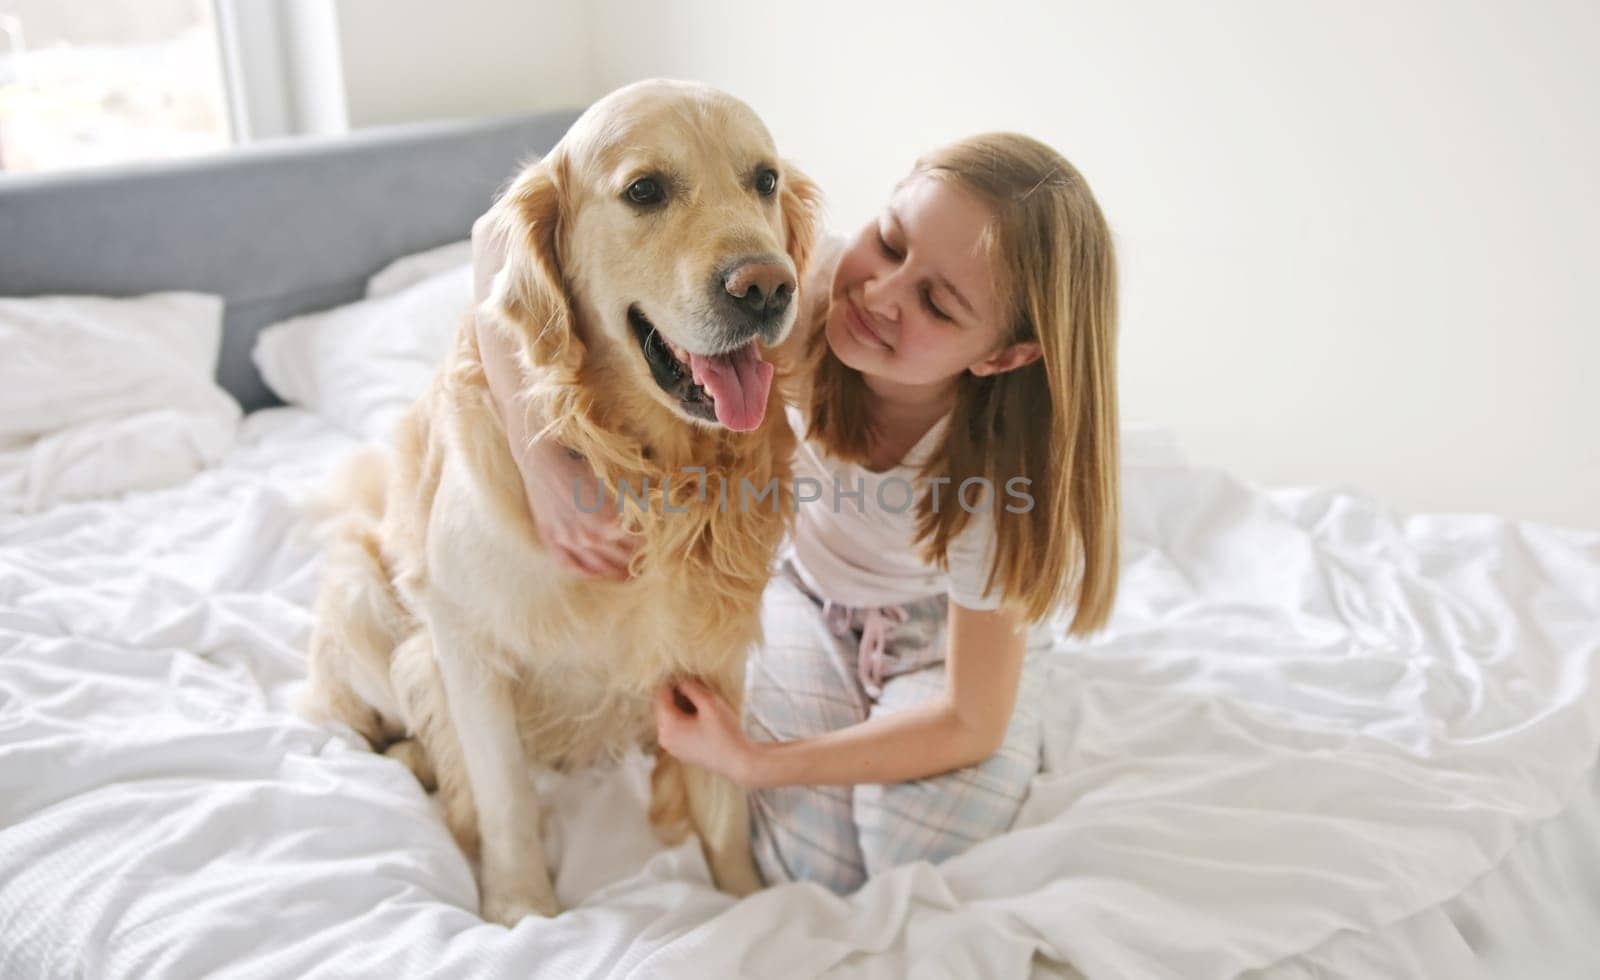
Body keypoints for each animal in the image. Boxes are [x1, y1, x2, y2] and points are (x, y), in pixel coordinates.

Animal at [300, 80, 819, 922]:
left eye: (765, 180)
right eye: (644, 190)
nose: (770, 286)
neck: (640, 473)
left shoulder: (711, 648)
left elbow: (722, 803)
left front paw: (744, 899)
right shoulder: (465, 643)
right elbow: (504, 795)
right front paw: (521, 910)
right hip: (360, 594)